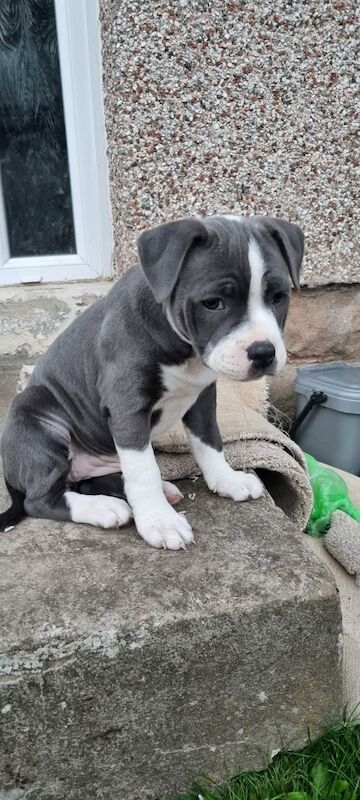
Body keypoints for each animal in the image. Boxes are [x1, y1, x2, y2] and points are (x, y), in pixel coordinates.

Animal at [0, 214, 304, 552]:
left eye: (278, 297)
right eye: (213, 303)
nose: (263, 352)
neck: (184, 349)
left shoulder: (202, 398)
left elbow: (210, 442)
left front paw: (227, 480)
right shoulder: (127, 406)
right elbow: (143, 470)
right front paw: (160, 522)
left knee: (86, 482)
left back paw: (158, 490)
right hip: (37, 416)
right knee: (40, 500)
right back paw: (105, 507)